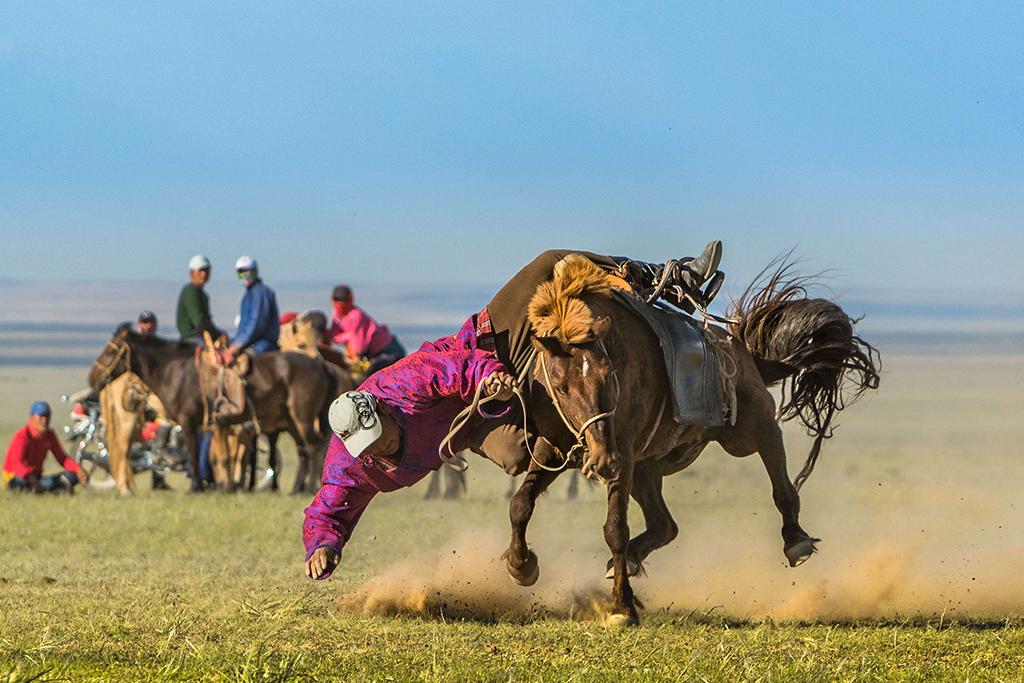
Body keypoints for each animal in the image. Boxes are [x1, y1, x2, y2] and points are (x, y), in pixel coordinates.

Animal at [503, 254, 880, 626]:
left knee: (780, 481)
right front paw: (521, 565)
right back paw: (629, 561)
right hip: (645, 470)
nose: (603, 462)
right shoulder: (554, 449)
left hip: (751, 430)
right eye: (561, 385)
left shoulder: (622, 452)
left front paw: (621, 607)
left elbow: (615, 529)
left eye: (608, 375)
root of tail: (742, 350)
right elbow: (521, 504)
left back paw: (796, 541)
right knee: (664, 526)